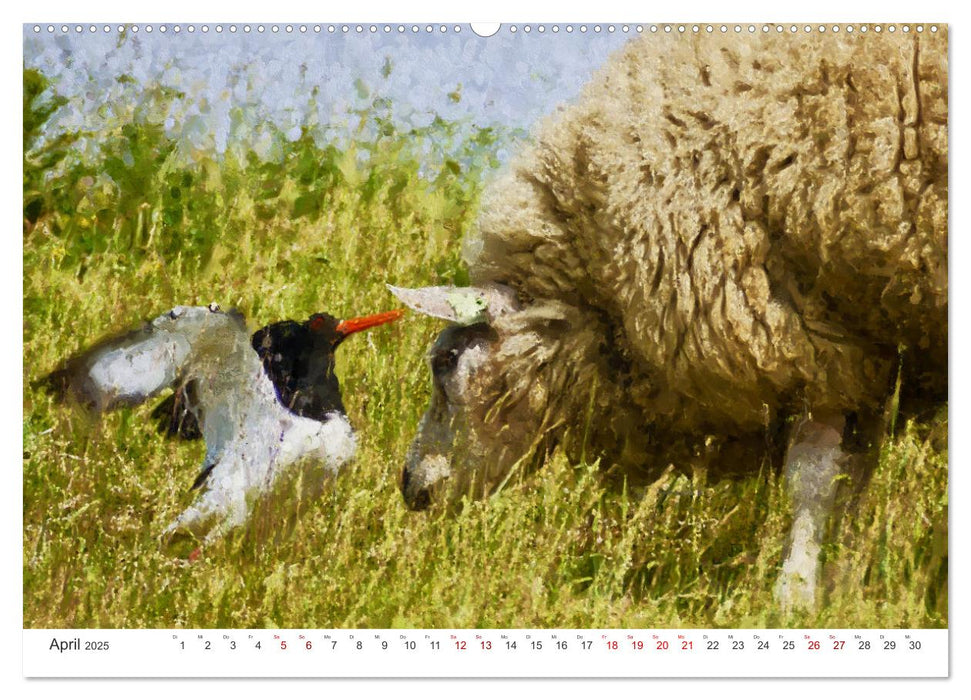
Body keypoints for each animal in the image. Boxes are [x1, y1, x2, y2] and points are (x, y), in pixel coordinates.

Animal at [390, 27, 948, 608]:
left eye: (447, 361)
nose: (410, 486)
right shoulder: (849, 344)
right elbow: (842, 484)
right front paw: (834, 586)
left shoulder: (803, 345)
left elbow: (811, 481)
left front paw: (793, 595)